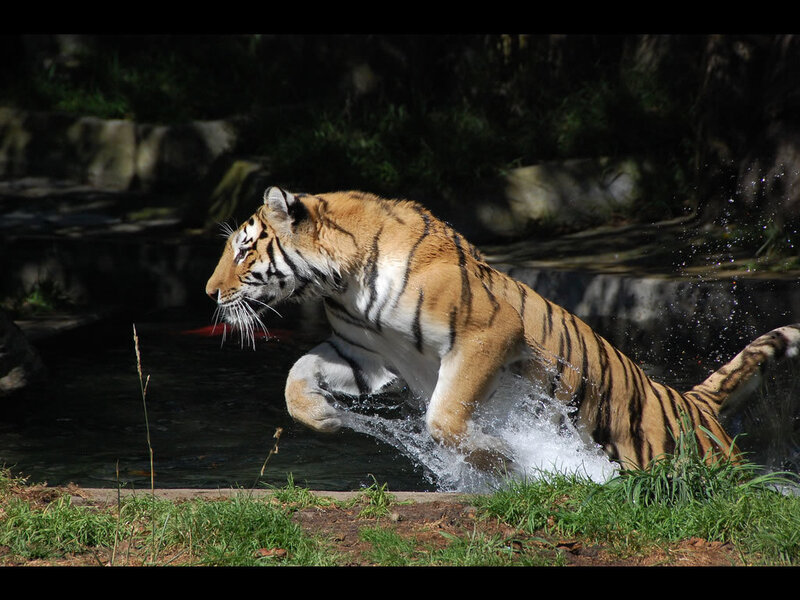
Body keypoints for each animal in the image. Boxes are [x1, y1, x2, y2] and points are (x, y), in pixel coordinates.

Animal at [205, 186, 800, 472]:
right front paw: (325, 417)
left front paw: (507, 461)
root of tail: (695, 402)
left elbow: (444, 419)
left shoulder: (487, 333)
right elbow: (295, 377)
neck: (342, 283)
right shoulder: (363, 352)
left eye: (244, 249)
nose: (210, 293)